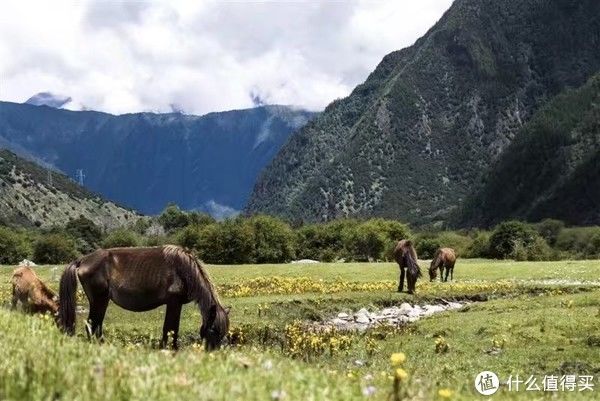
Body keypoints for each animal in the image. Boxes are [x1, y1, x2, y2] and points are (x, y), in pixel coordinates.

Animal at [58, 242, 231, 348]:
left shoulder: (176, 304)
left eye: (223, 332)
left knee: (96, 325)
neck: (184, 270)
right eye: (213, 330)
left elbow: (171, 328)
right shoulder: (173, 303)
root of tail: (83, 260)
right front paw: (170, 349)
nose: (212, 354)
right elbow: (171, 328)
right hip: (99, 300)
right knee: (92, 325)